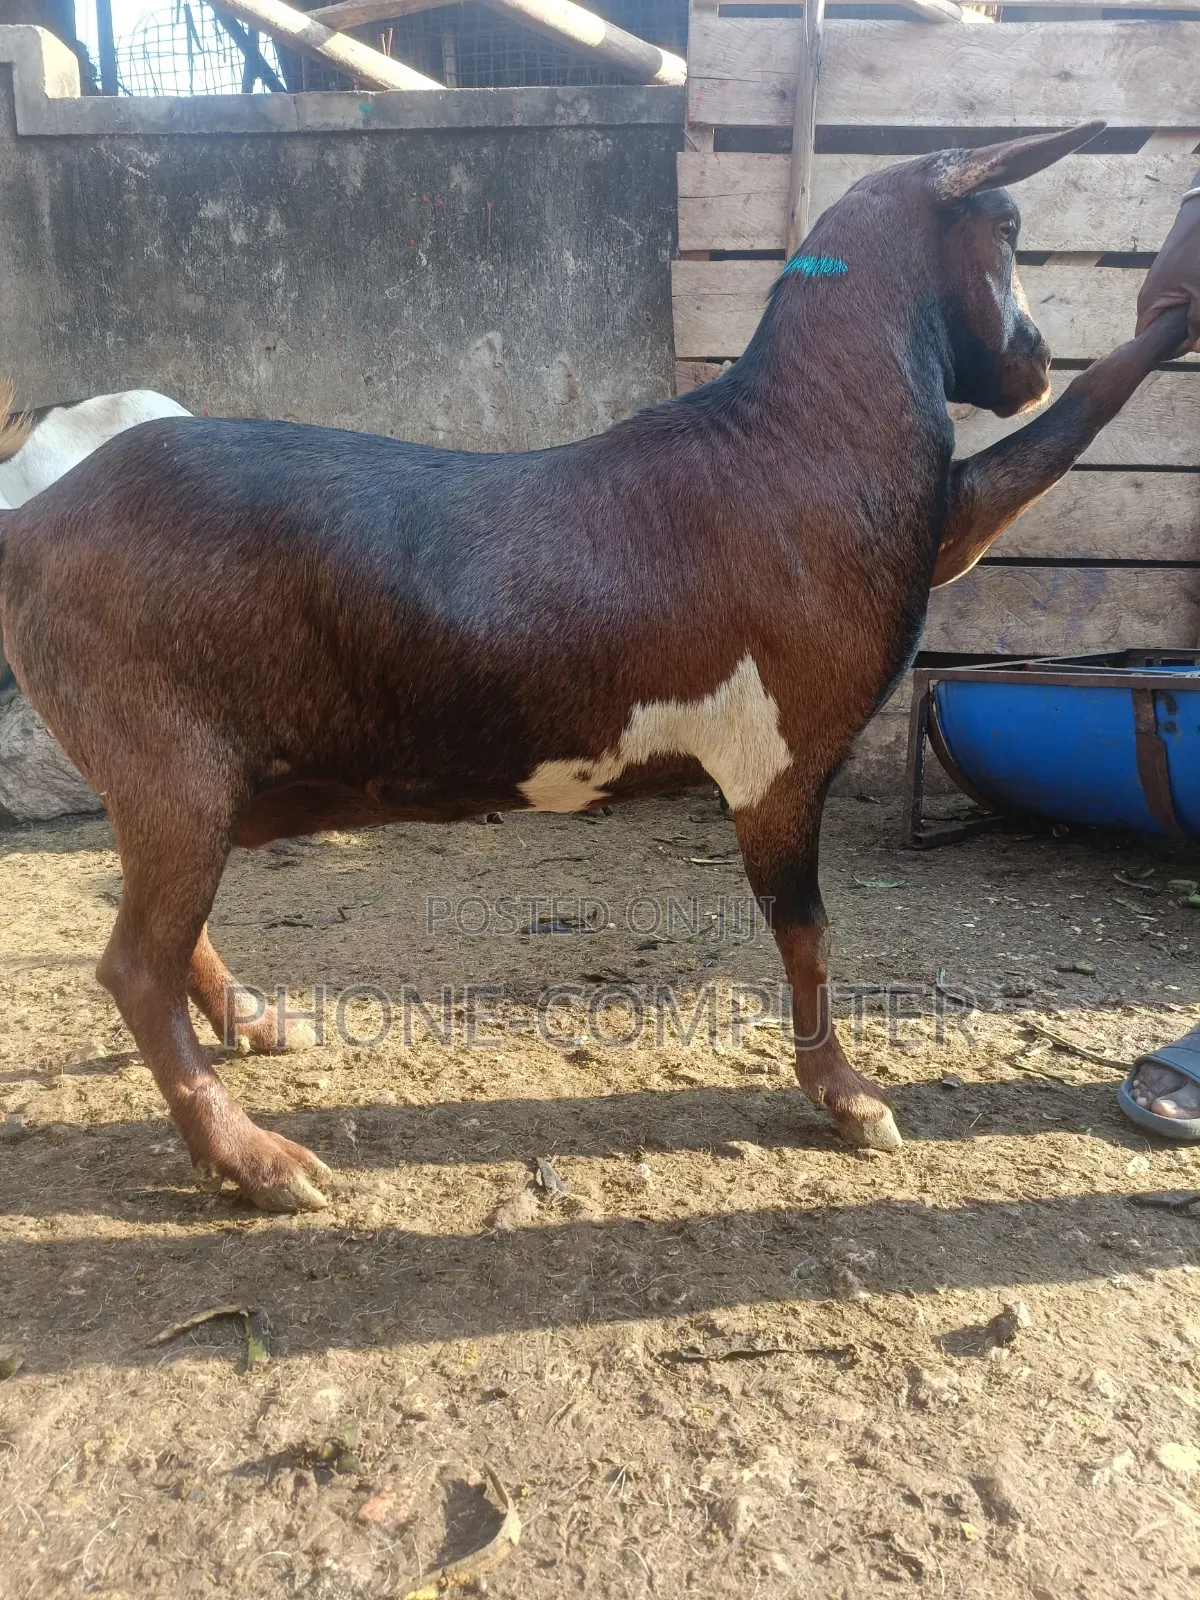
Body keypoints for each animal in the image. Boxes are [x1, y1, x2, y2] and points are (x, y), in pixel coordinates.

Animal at [0, 124, 1184, 1211]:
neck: (797, 441)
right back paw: (254, 1159)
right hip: (165, 752)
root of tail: (35, 521)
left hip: (206, 773)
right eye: (1008, 228)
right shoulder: (778, 759)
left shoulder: (932, 533)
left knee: (165, 925)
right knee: (135, 963)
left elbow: (1030, 465)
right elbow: (806, 933)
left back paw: (253, 1021)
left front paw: (1165, 318)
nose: (1033, 359)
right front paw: (847, 1098)